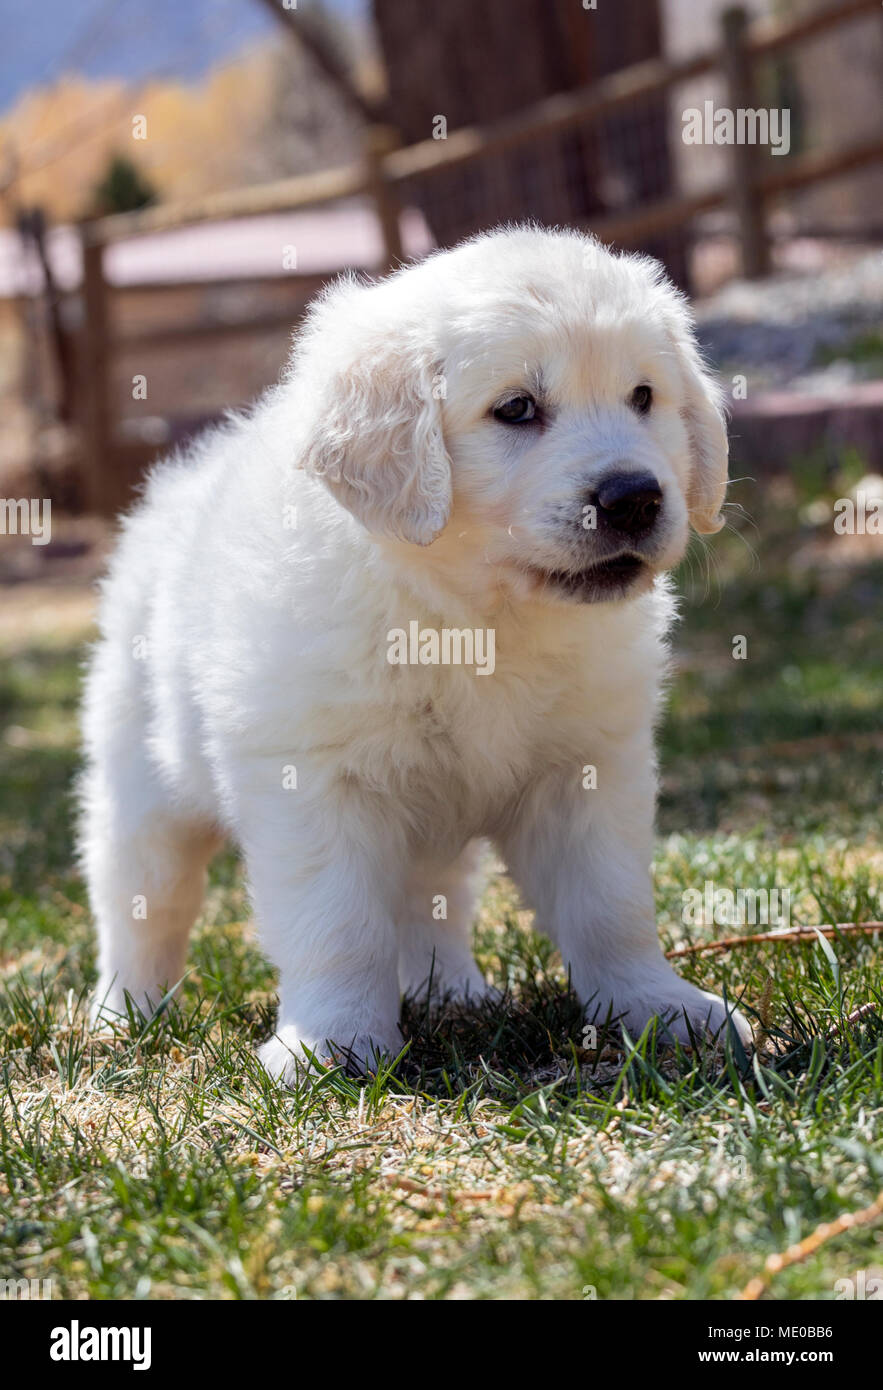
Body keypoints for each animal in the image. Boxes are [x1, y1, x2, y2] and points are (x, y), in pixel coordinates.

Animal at [79, 227, 750, 1078]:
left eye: (643, 398)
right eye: (516, 409)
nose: (633, 498)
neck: (475, 619)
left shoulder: (590, 768)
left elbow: (610, 906)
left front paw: (660, 1011)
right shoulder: (315, 781)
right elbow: (337, 924)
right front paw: (330, 1046)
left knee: (431, 897)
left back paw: (449, 992)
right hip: (142, 783)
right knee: (143, 900)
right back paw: (123, 1014)